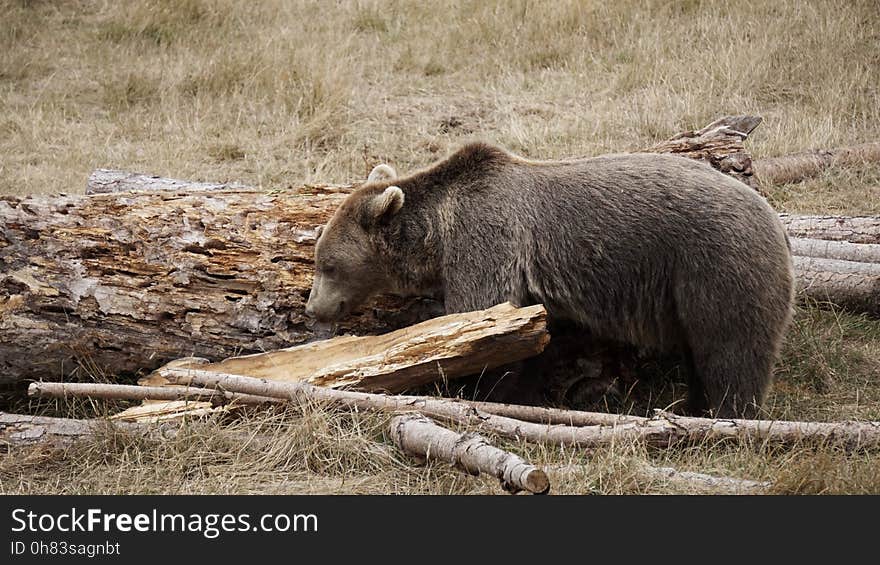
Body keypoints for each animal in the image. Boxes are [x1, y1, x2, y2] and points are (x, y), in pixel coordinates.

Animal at [306, 143, 796, 416]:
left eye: (326, 264)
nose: (314, 307)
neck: (437, 236)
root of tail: (777, 222)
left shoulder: (487, 239)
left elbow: (477, 316)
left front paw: (469, 386)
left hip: (718, 267)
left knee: (732, 351)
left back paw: (728, 414)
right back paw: (694, 406)